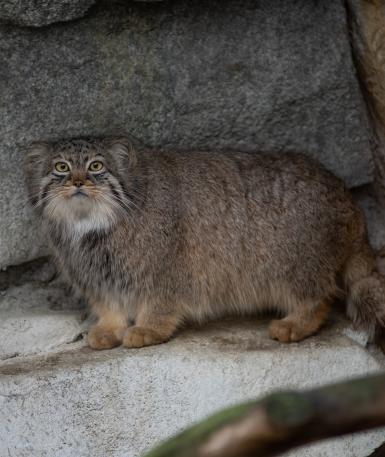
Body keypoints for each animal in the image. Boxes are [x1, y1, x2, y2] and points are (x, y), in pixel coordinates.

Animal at [24, 137, 384, 348]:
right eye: (61, 167)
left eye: (96, 166)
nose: (77, 181)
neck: (93, 228)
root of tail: (347, 198)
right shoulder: (99, 279)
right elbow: (110, 307)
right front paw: (110, 328)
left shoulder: (164, 268)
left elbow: (158, 302)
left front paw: (148, 329)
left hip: (294, 265)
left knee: (320, 297)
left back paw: (296, 323)